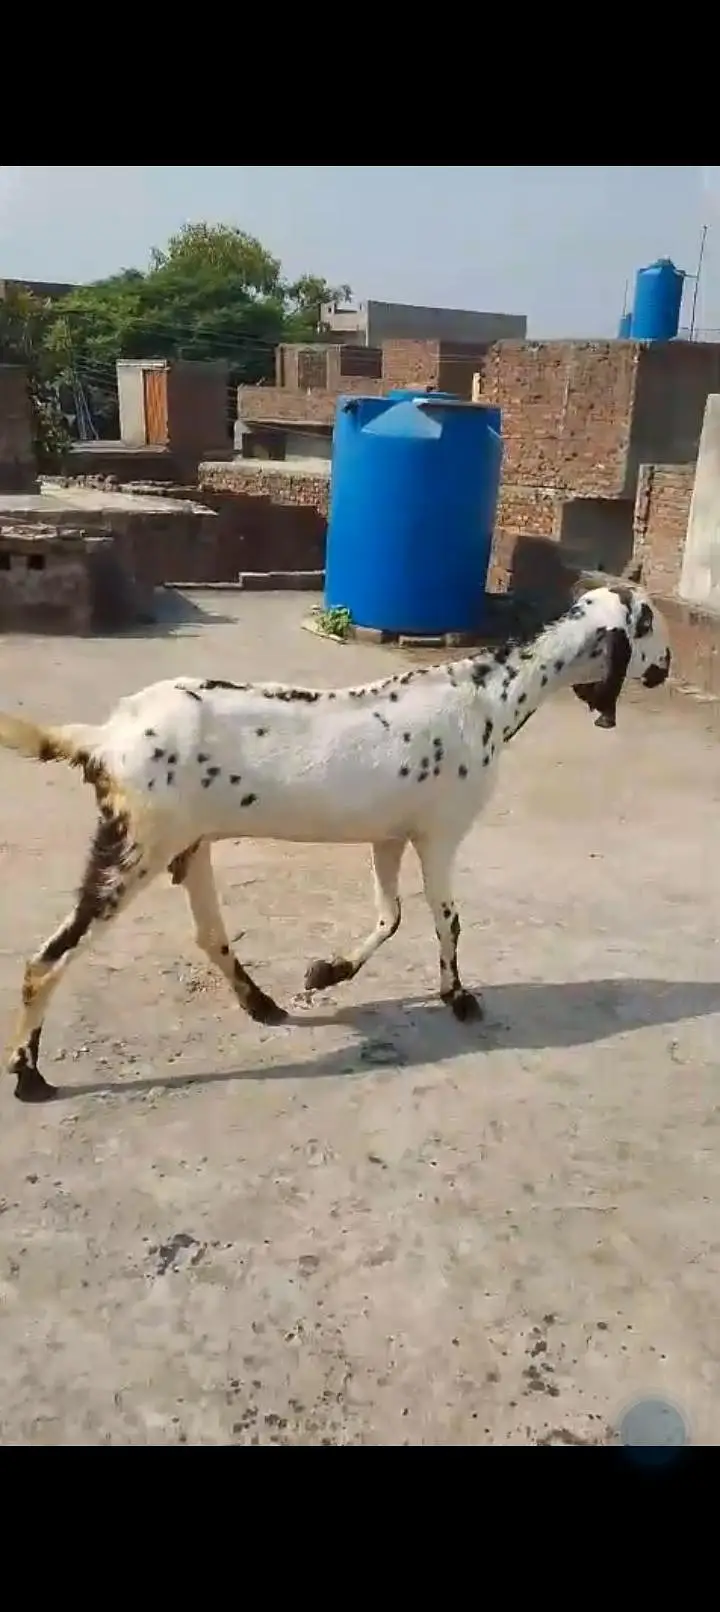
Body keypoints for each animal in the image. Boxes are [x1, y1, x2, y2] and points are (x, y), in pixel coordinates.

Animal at [0, 581, 670, 1104]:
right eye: (649, 622)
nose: (665, 668)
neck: (488, 697)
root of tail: (103, 738)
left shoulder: (390, 836)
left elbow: (391, 915)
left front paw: (327, 972)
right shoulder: (440, 834)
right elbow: (447, 921)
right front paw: (458, 997)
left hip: (185, 845)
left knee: (210, 935)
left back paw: (264, 1004)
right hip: (135, 849)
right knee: (48, 960)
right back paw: (29, 1076)